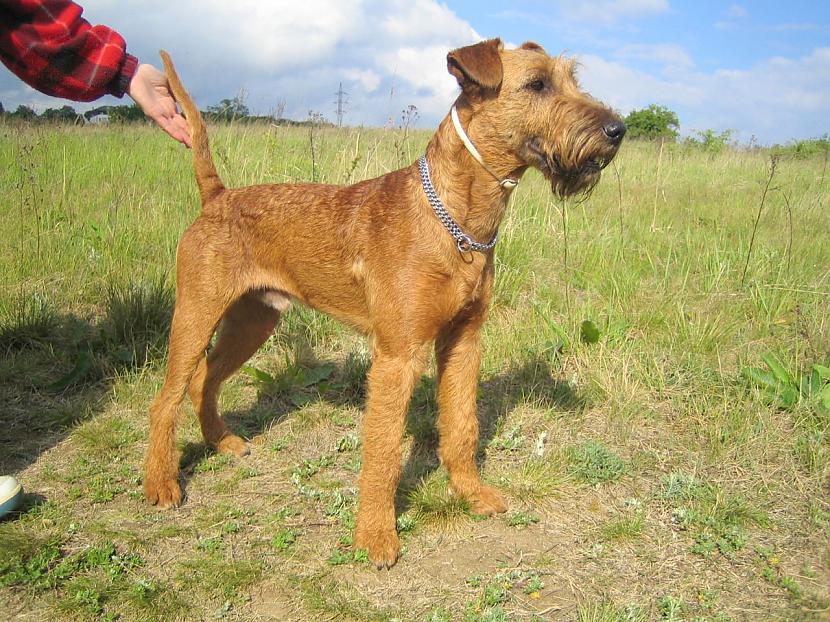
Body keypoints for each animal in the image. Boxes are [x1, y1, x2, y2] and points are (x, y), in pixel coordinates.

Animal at [145, 39, 624, 572]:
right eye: (537, 84)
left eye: (572, 80)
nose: (617, 129)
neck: (455, 219)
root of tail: (217, 197)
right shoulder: (398, 356)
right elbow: (384, 451)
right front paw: (374, 537)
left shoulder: (464, 341)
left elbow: (462, 427)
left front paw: (472, 494)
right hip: (196, 315)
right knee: (164, 399)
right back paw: (161, 484)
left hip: (254, 321)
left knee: (204, 381)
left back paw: (222, 442)